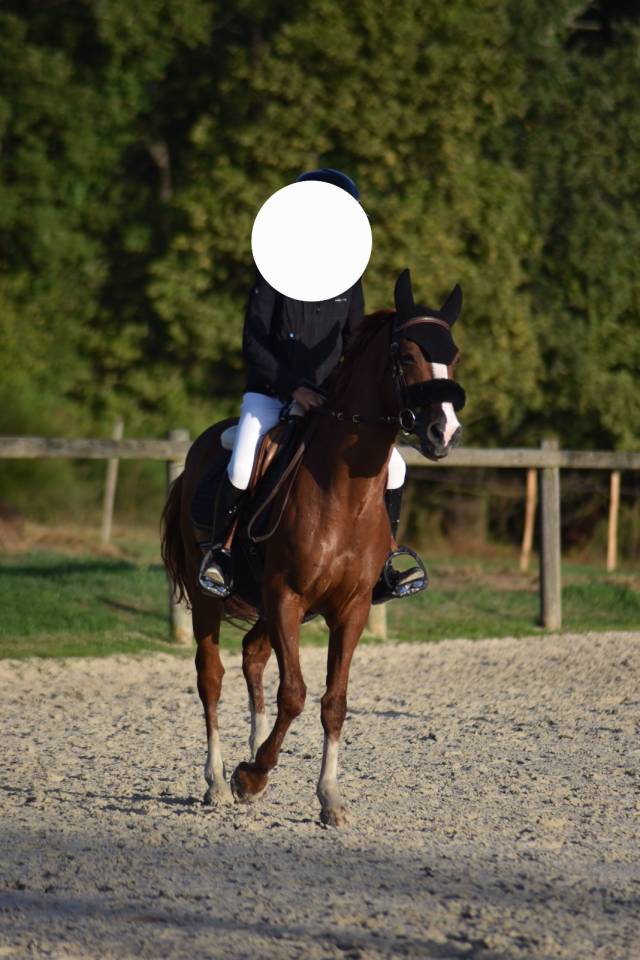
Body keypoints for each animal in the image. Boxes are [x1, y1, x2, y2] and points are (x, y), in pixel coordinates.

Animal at [161, 269, 465, 825]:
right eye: (404, 354)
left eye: (452, 354)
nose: (443, 432)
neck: (342, 491)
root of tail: (199, 448)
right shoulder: (287, 596)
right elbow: (296, 694)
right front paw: (251, 776)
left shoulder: (351, 607)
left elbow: (334, 701)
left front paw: (328, 797)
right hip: (210, 597)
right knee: (211, 676)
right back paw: (219, 781)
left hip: (267, 606)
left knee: (253, 657)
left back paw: (253, 754)